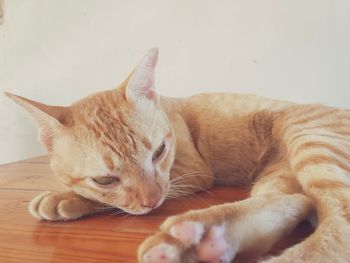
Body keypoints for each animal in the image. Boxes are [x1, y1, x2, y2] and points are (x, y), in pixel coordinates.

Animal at [5, 48, 350, 263]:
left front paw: (64, 197)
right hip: (280, 171)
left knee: (337, 223)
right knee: (296, 200)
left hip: (310, 138)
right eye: (105, 178)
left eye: (159, 151)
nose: (152, 201)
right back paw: (205, 239)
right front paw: (66, 195)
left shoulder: (191, 172)